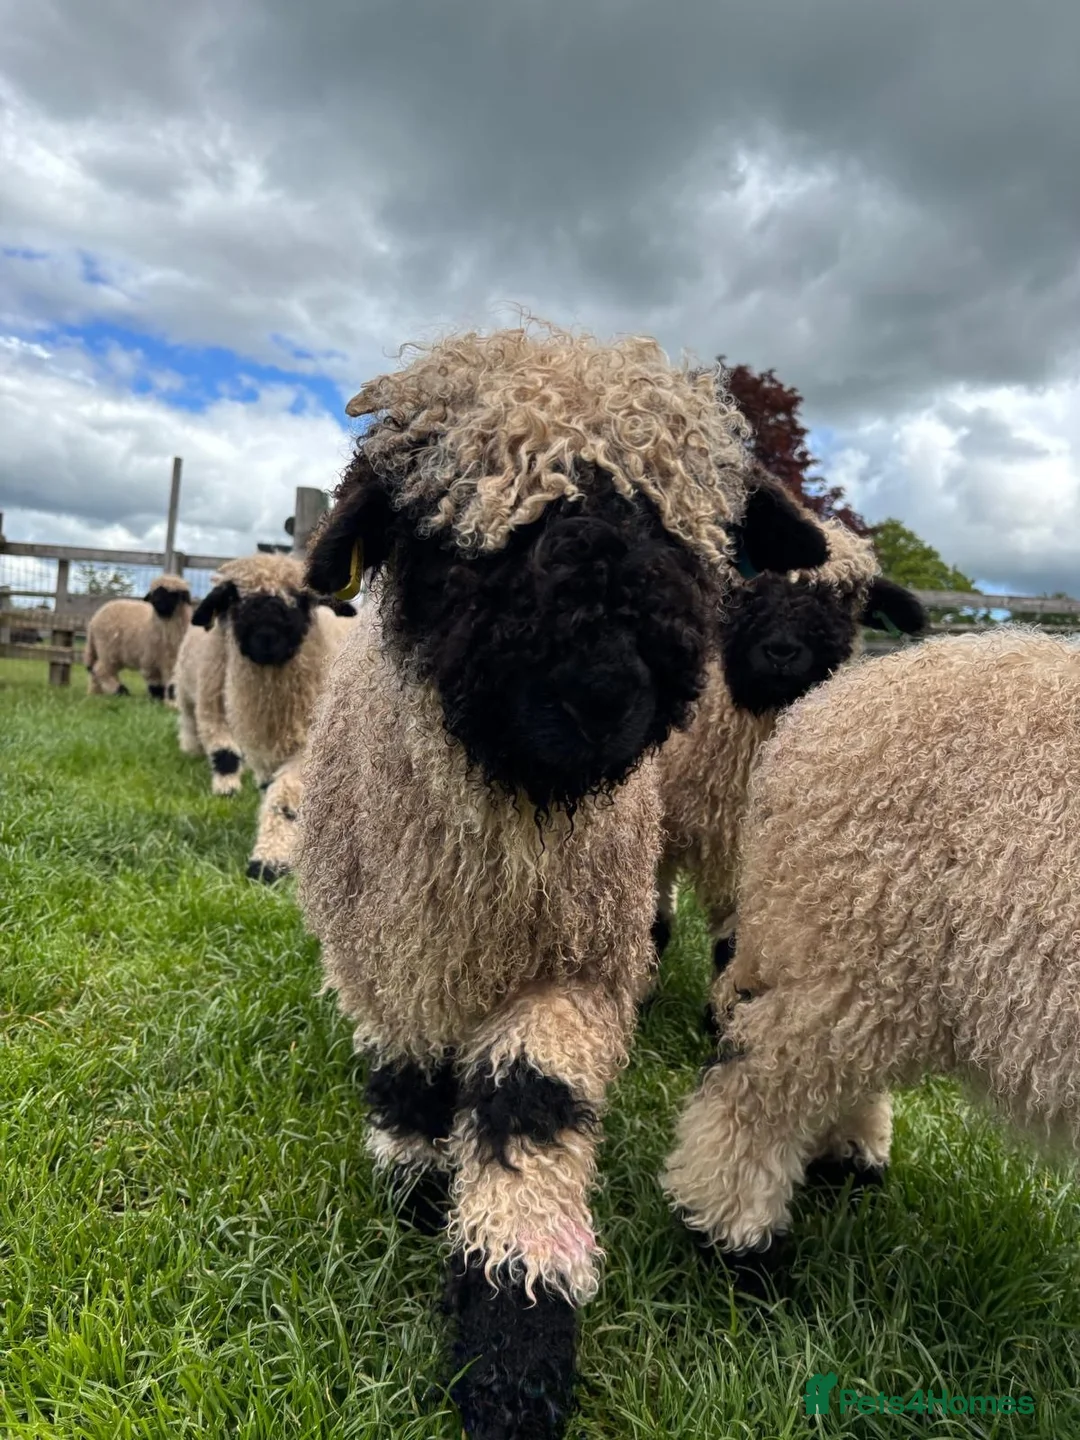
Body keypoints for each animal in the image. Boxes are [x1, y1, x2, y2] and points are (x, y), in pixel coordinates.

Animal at [190, 556, 356, 878]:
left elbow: (285, 801)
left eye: (302, 599)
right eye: (233, 597)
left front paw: (270, 862)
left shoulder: (308, 751)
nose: (266, 637)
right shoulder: (266, 752)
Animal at [291, 321, 833, 1440]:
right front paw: (418, 1182)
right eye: (462, 537)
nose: (601, 694)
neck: (513, 830)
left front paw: (514, 1345)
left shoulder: (574, 965)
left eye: (680, 535)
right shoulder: (393, 948)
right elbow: (407, 1073)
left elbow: (528, 1112)